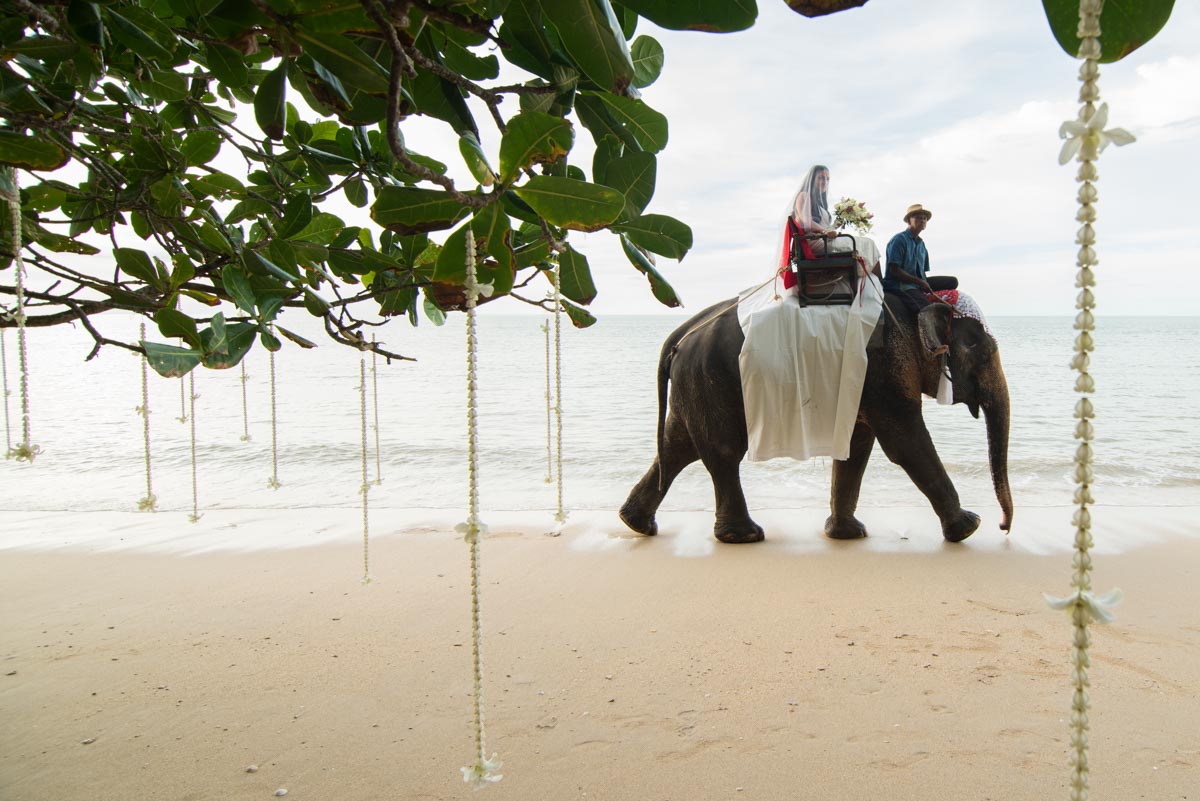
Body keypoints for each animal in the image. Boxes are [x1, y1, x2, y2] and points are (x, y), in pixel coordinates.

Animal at [619, 296, 1012, 544]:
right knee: (723, 452)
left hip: (694, 382)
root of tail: (680, 333)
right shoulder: (885, 370)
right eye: (984, 353)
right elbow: (906, 443)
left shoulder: (868, 380)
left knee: (677, 447)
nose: (1004, 527)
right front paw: (970, 527)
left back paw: (636, 523)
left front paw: (848, 534)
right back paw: (744, 536)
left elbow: (856, 447)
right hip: (710, 378)